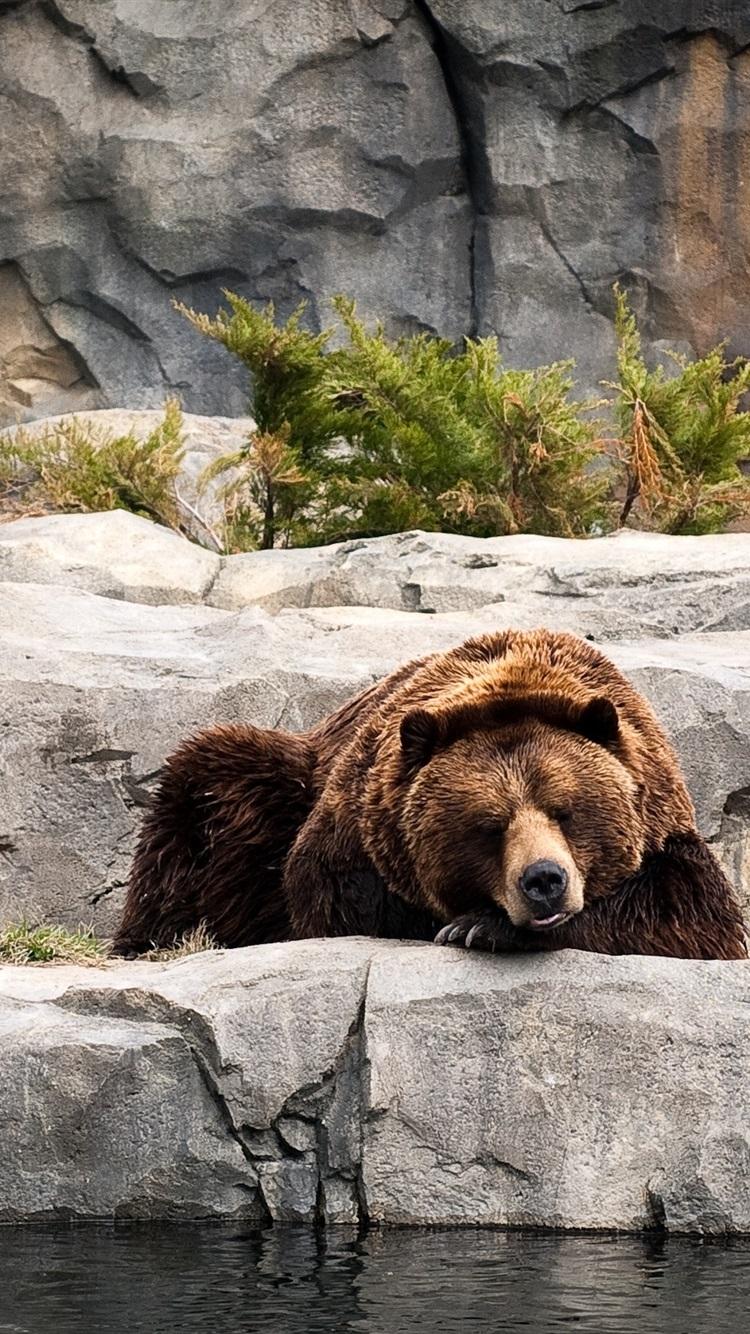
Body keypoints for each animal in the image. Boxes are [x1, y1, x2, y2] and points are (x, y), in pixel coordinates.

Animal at [112, 628, 748, 961]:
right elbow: (336, 899)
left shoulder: (662, 822)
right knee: (207, 789)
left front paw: (480, 927)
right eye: (489, 826)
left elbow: (691, 916)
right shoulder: (356, 825)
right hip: (275, 785)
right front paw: (468, 923)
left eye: (565, 811)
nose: (544, 880)